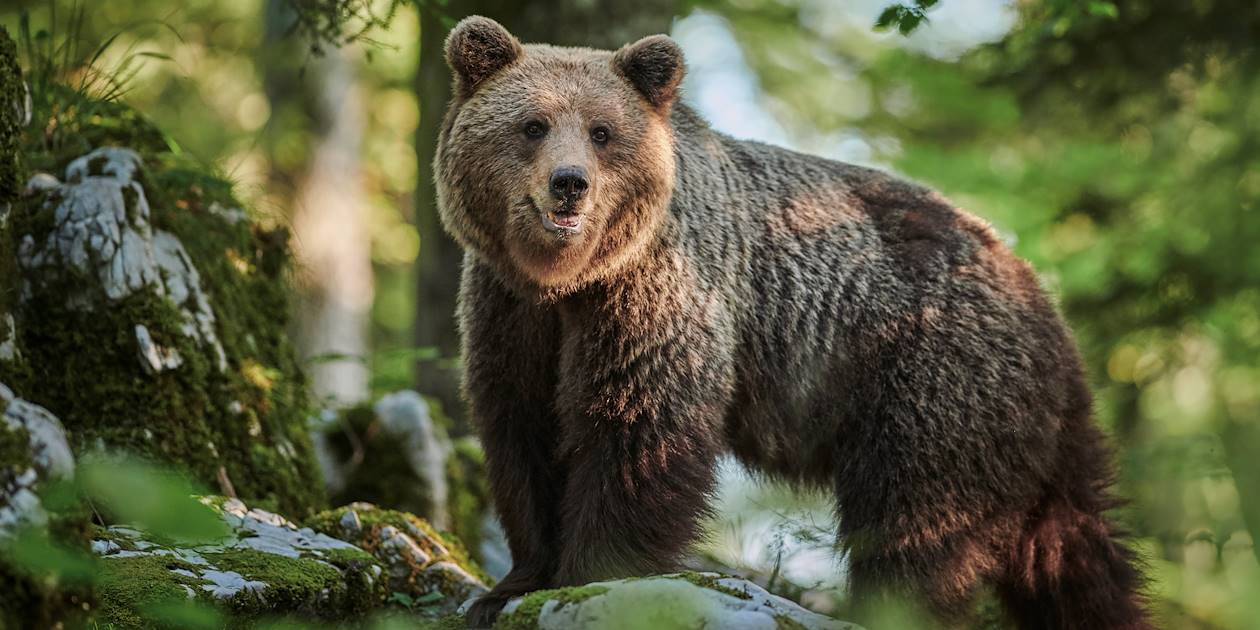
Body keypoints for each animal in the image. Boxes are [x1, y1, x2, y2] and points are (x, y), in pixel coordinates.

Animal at [441, 14, 1154, 630]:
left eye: (601, 131)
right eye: (533, 124)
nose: (569, 184)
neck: (568, 279)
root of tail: (1035, 291)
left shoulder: (657, 294)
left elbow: (637, 425)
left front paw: (598, 575)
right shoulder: (511, 310)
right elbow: (522, 428)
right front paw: (511, 584)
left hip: (931, 380)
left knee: (916, 521)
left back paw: (883, 608)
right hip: (1033, 427)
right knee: (1072, 547)